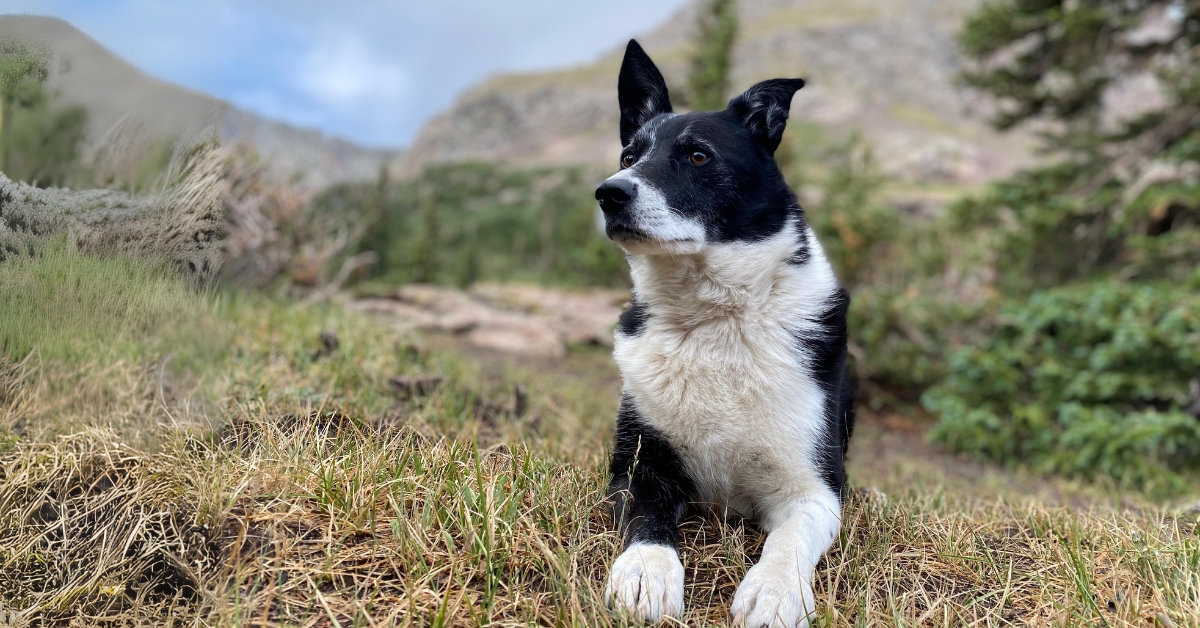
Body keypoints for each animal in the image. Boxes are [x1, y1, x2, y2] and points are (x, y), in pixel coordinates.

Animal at [592, 41, 854, 624]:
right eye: (628, 158)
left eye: (697, 156)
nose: (608, 193)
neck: (717, 319)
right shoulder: (638, 468)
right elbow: (648, 521)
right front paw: (646, 572)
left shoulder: (813, 491)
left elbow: (789, 540)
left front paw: (776, 591)